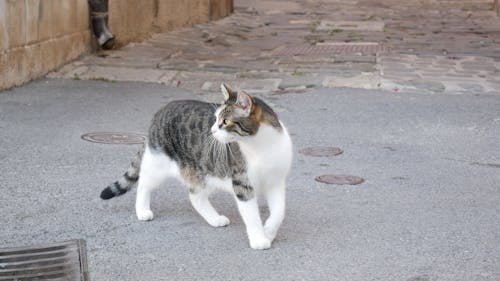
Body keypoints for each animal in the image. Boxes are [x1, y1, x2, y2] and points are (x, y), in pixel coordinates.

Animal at [99, 83, 292, 249]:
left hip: (204, 173)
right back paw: (142, 210)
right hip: (158, 163)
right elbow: (251, 216)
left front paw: (269, 232)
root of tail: (161, 111)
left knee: (195, 196)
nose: (212, 131)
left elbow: (280, 212)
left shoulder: (276, 182)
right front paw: (259, 239)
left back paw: (214, 219)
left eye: (225, 121)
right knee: (144, 184)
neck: (262, 147)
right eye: (215, 119)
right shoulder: (242, 184)